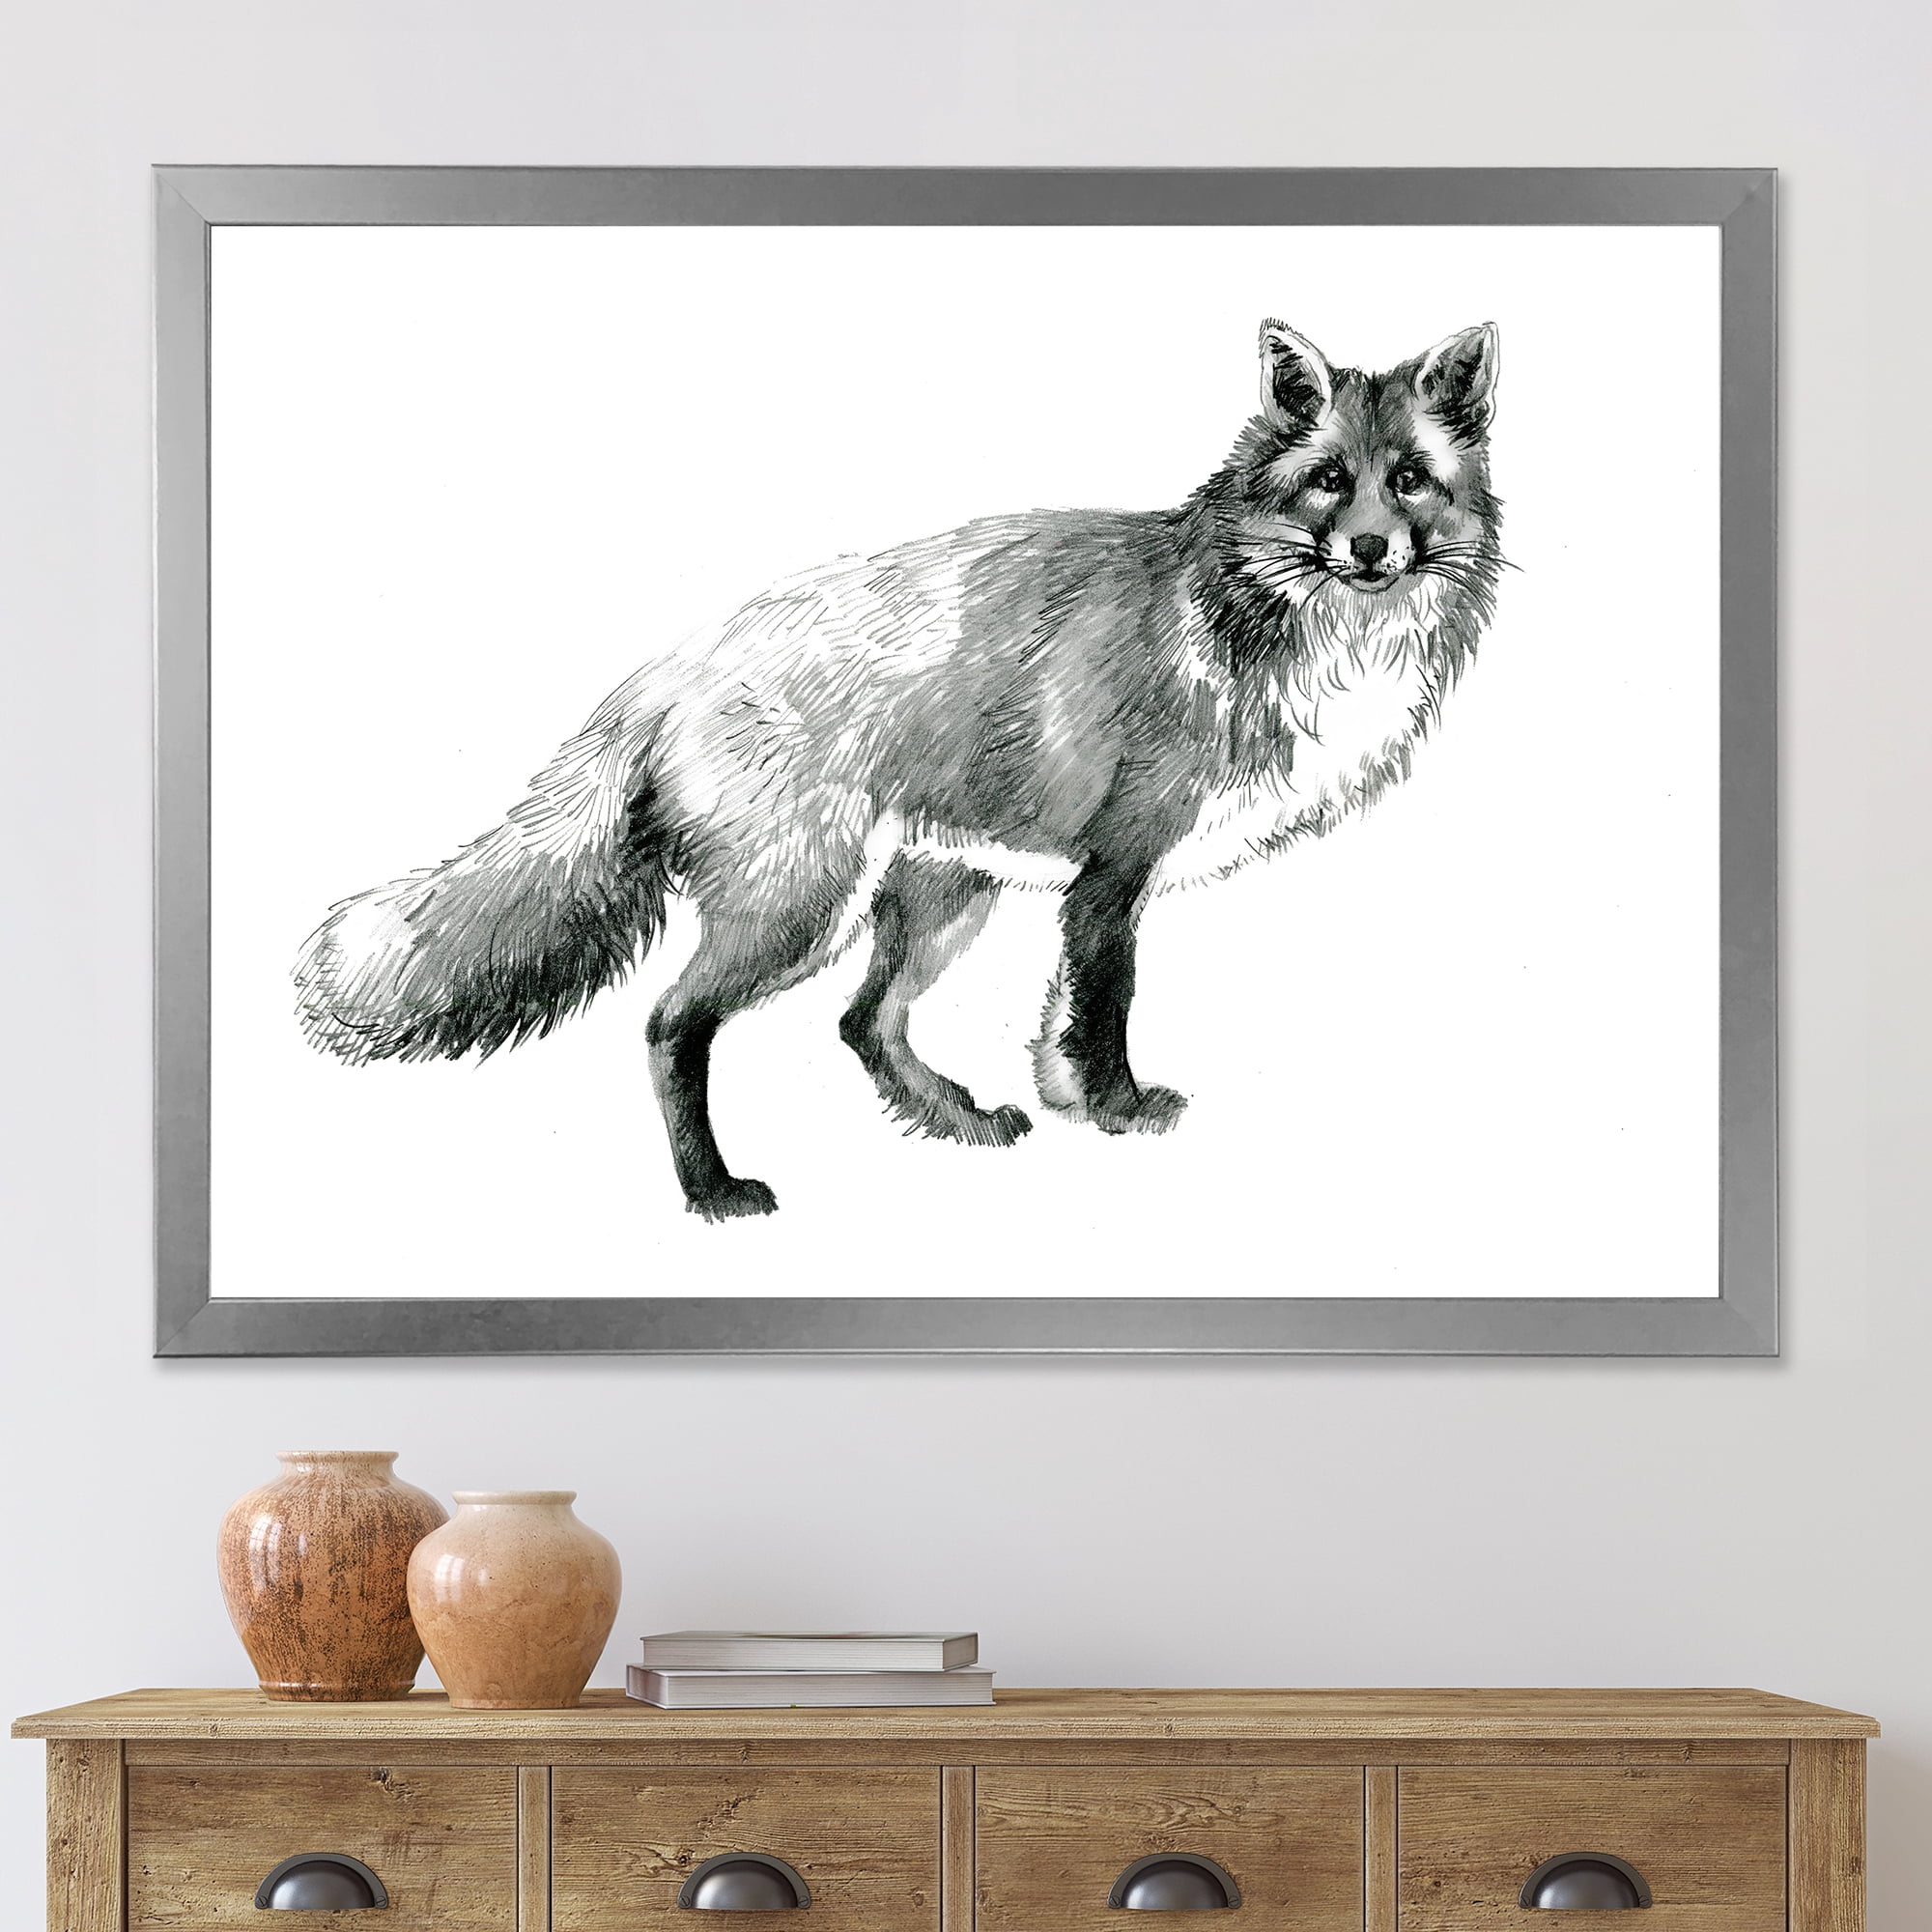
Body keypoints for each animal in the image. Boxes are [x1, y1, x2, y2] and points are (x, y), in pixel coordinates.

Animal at [295, 319, 1504, 1221]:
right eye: (1327, 481)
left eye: (1409, 480)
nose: (1370, 551)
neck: (1266, 625)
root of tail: (668, 668)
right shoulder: (1114, 871)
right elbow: (1104, 1013)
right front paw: (1119, 1113)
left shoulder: (1077, 889)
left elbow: (1057, 1026)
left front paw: (1068, 1108)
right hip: (799, 908)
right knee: (671, 1023)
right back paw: (713, 1192)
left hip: (936, 896)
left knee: (863, 1023)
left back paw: (955, 1120)